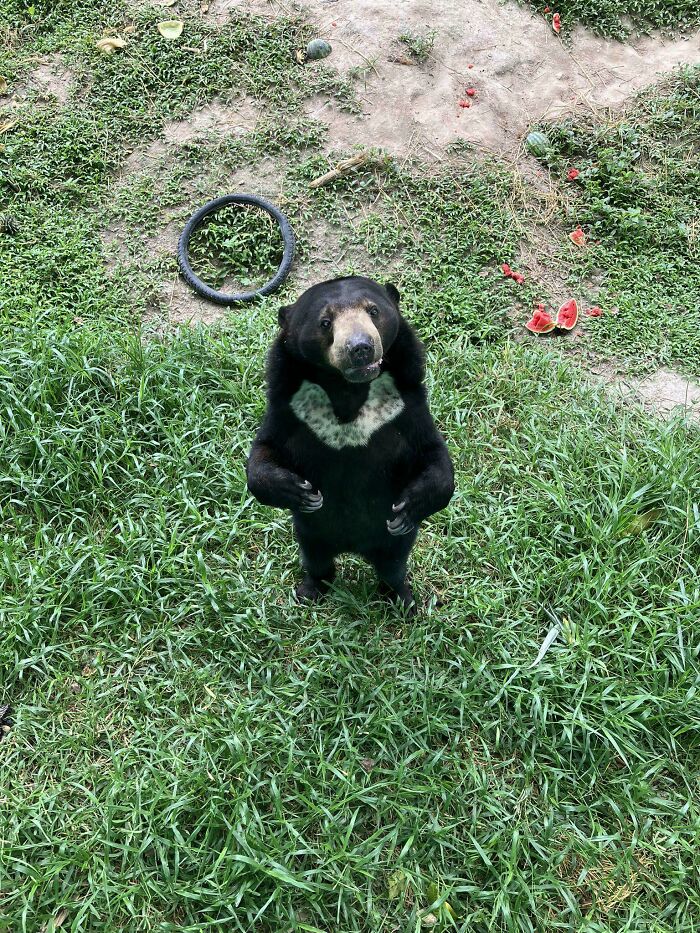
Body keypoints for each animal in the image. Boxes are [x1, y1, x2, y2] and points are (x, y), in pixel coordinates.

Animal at [245, 275, 455, 612]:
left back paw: (403, 600)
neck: (347, 389)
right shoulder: (287, 407)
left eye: (373, 311)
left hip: (390, 545)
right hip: (311, 533)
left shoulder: (408, 406)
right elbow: (265, 451)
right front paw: (300, 492)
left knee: (393, 567)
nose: (360, 349)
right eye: (325, 322)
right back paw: (310, 591)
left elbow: (432, 454)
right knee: (317, 560)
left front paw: (408, 507)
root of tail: (354, 547)